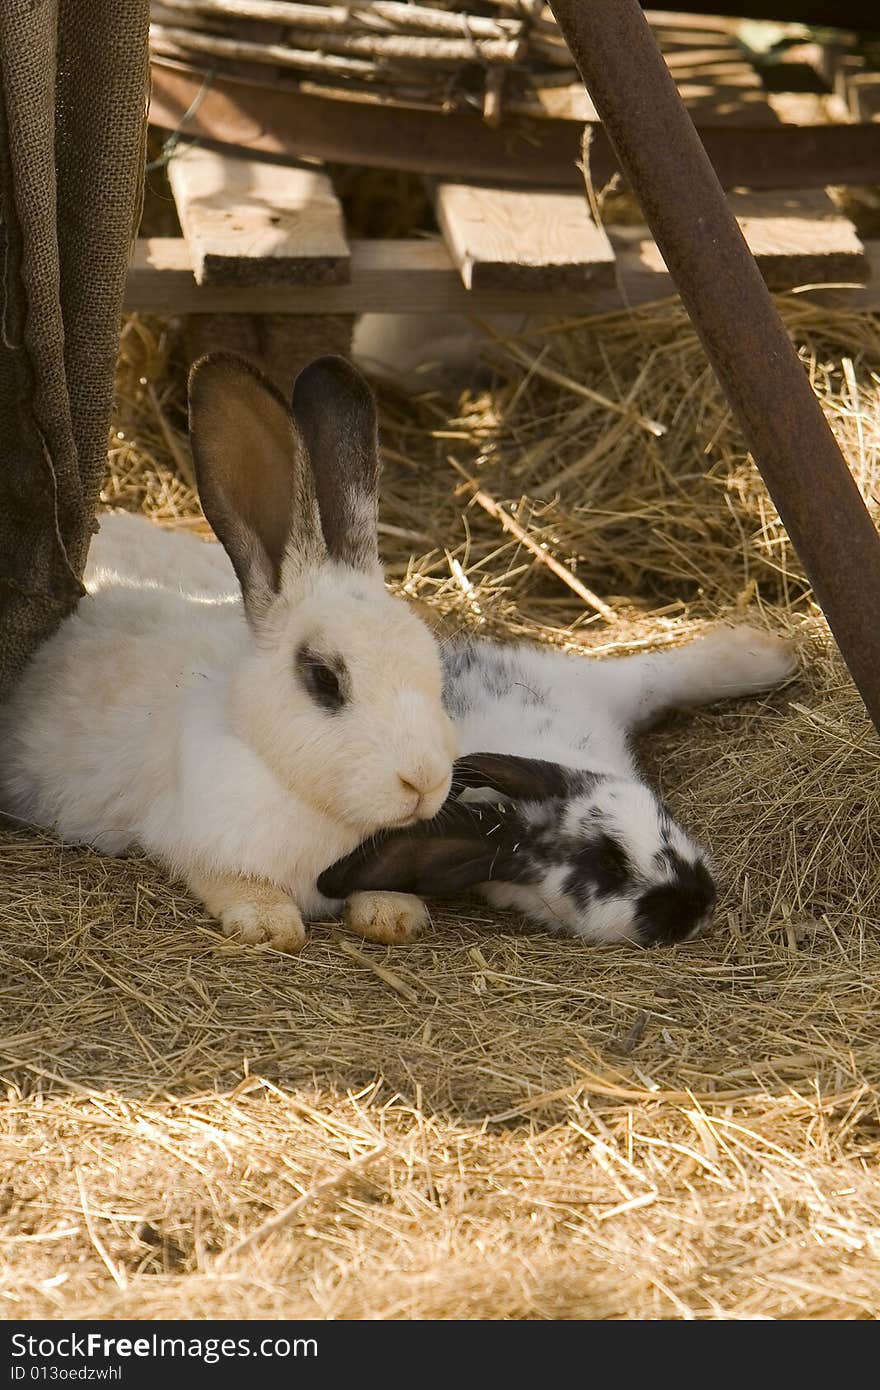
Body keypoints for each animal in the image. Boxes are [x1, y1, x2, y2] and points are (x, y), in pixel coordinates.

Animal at [1, 353, 458, 950]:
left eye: (435, 671)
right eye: (324, 679)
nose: (424, 782)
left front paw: (393, 915)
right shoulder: (198, 844)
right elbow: (236, 884)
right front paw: (270, 925)